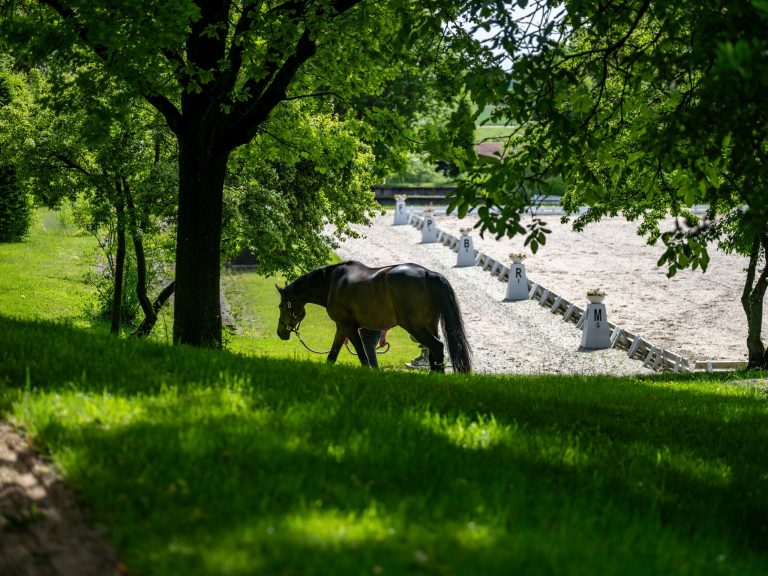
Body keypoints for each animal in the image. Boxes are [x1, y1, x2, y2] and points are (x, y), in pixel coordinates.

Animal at [276, 260, 472, 373]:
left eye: (281, 306)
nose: (280, 333)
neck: (332, 282)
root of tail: (428, 273)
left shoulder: (348, 327)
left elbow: (363, 356)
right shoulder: (342, 328)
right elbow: (332, 355)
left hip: (415, 327)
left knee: (437, 347)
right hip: (430, 325)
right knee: (433, 352)